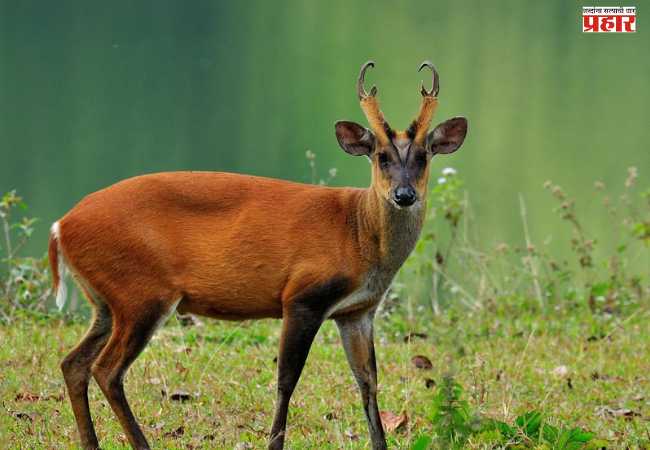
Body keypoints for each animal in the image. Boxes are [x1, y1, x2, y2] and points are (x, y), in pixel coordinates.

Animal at [49, 60, 467, 450]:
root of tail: (61, 226)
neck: (358, 233)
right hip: (141, 293)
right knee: (107, 370)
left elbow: (368, 381)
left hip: (107, 300)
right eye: (381, 156)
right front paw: (274, 442)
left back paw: (91, 442)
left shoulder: (357, 311)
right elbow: (287, 379)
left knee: (74, 362)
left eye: (424, 156)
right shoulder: (302, 296)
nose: (403, 194)